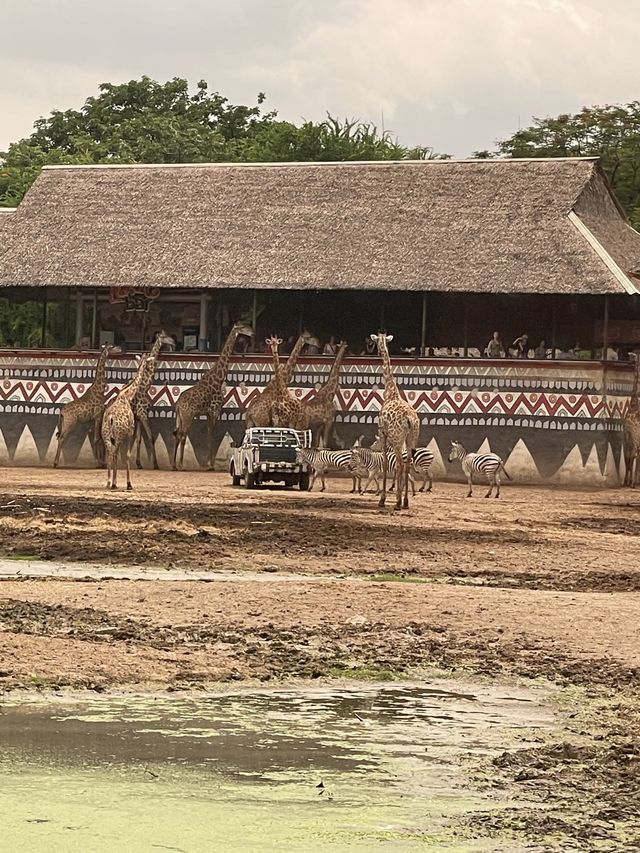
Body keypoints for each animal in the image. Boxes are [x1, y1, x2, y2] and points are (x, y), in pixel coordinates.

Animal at [53, 342, 115, 470]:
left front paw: (101, 462)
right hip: (70, 423)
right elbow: (97, 439)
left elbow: (97, 439)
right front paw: (100, 463)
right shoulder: (98, 415)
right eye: (113, 347)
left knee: (59, 437)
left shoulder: (94, 418)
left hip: (64, 423)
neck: (100, 390)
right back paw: (55, 463)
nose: (121, 349)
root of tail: (61, 412)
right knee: (61, 438)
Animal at [101, 354, 155, 490]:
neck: (127, 395)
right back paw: (114, 484)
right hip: (119, 436)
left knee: (110, 453)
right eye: (148, 363)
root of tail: (110, 418)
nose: (149, 369)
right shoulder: (130, 431)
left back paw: (108, 482)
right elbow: (127, 455)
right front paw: (129, 483)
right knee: (114, 454)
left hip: (106, 436)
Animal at [131, 330, 175, 470]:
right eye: (164, 336)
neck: (145, 386)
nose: (174, 342)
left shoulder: (139, 417)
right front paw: (155, 464)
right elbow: (151, 437)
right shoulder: (143, 414)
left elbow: (139, 439)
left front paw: (139, 463)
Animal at [172, 322, 242, 470]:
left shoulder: (209, 413)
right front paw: (211, 464)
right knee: (182, 435)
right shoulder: (215, 411)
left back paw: (174, 464)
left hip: (180, 417)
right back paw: (181, 464)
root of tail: (178, 405)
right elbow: (211, 436)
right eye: (243, 327)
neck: (218, 378)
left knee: (177, 434)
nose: (252, 332)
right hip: (188, 417)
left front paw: (209, 463)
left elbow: (209, 435)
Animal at [370, 332, 420, 506]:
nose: (378, 351)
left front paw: (382, 499)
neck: (390, 393)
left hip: (398, 439)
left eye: (376, 342)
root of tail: (410, 419)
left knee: (399, 463)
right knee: (407, 463)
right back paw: (405, 501)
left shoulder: (383, 434)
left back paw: (397, 502)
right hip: (412, 438)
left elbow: (385, 463)